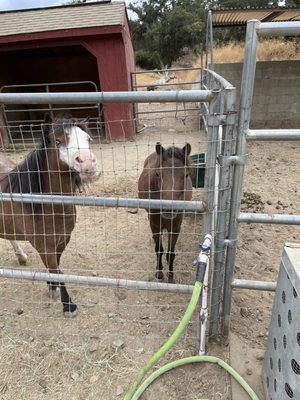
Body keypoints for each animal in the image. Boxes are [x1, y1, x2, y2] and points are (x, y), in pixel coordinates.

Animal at [0, 114, 99, 318]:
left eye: (88, 139)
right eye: (58, 141)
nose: (88, 164)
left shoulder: (62, 240)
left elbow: (56, 267)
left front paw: (52, 287)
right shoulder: (44, 246)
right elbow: (56, 269)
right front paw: (68, 305)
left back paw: (21, 257)